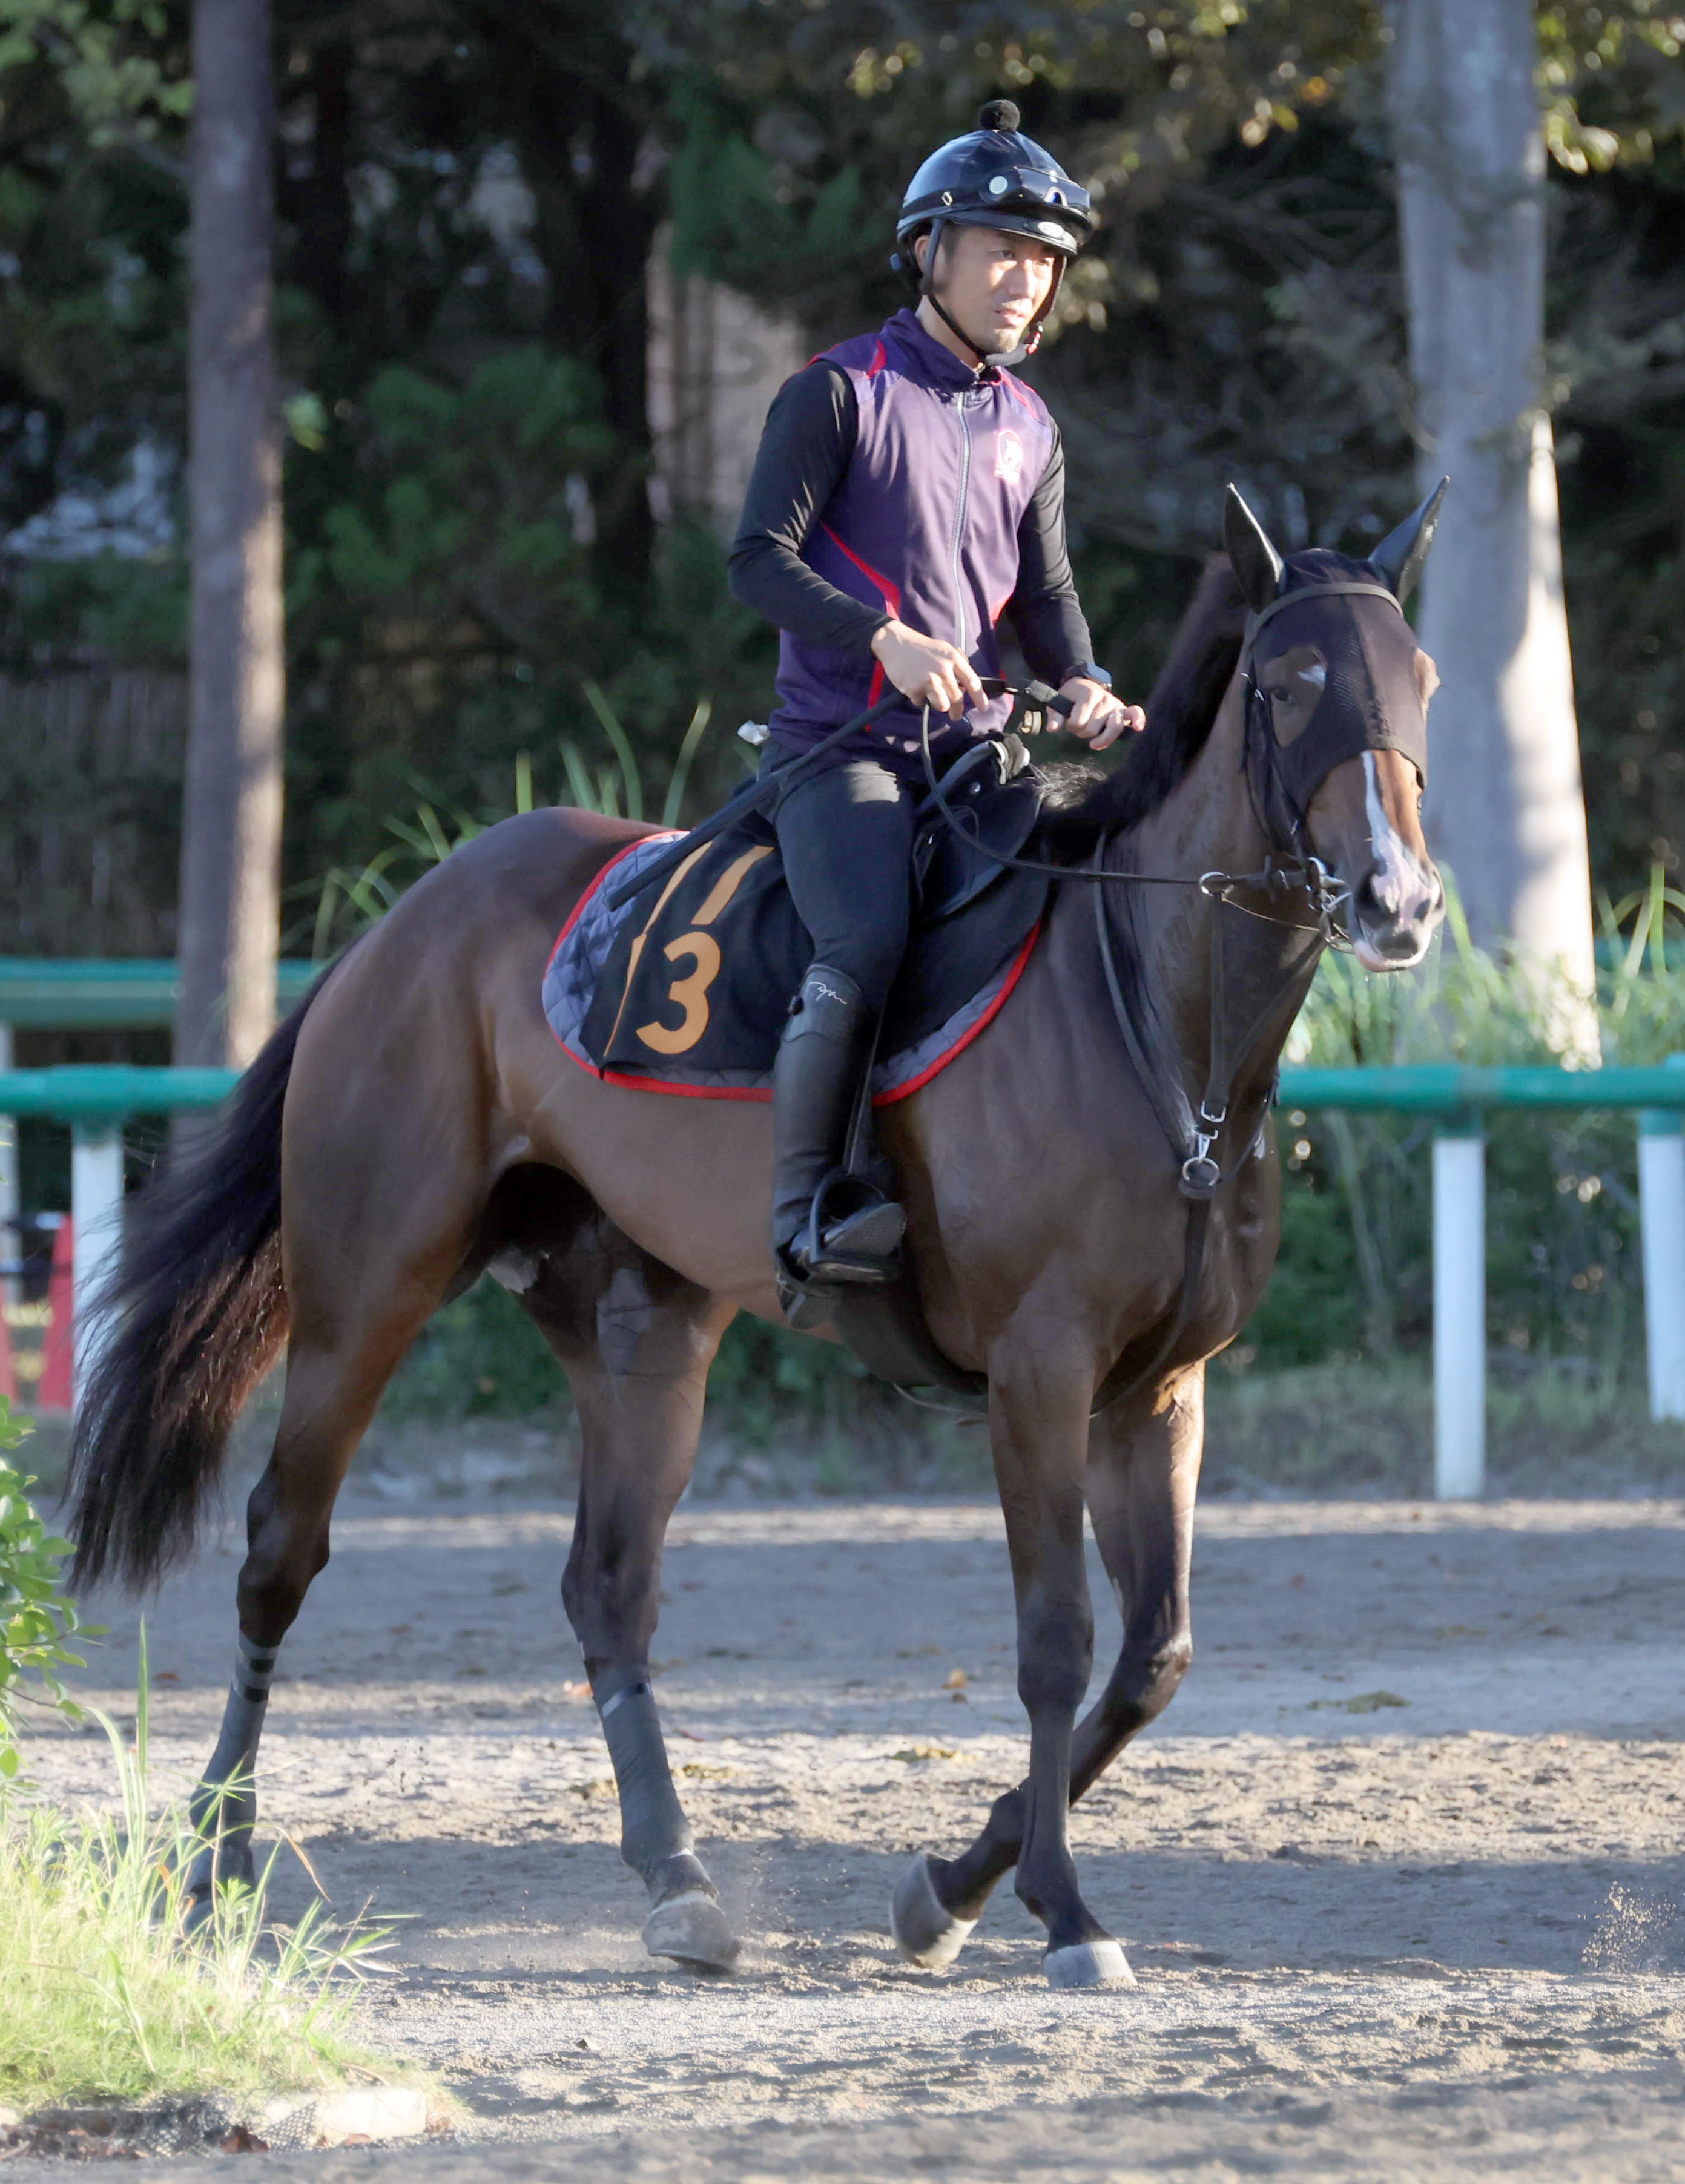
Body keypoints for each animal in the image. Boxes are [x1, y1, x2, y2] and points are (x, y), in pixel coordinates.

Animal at [69, 487, 1451, 1992]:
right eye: (1287, 680)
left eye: (1421, 681)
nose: (1394, 898)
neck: (1156, 1028)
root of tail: (401, 921)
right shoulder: (1039, 1375)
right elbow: (1053, 1641)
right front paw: (1058, 1910)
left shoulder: (1157, 1390)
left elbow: (1151, 1660)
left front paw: (947, 1889)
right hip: (360, 1298)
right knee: (280, 1550)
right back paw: (215, 1862)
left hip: (644, 1334)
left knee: (607, 1587)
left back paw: (675, 1880)